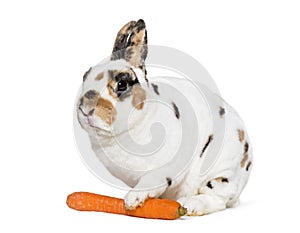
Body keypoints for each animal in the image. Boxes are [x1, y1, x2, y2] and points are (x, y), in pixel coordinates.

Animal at [76, 19, 252, 216]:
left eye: (122, 84)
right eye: (85, 76)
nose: (85, 109)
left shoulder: (165, 168)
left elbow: (151, 180)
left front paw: (132, 200)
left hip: (222, 174)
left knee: (218, 200)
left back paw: (190, 205)